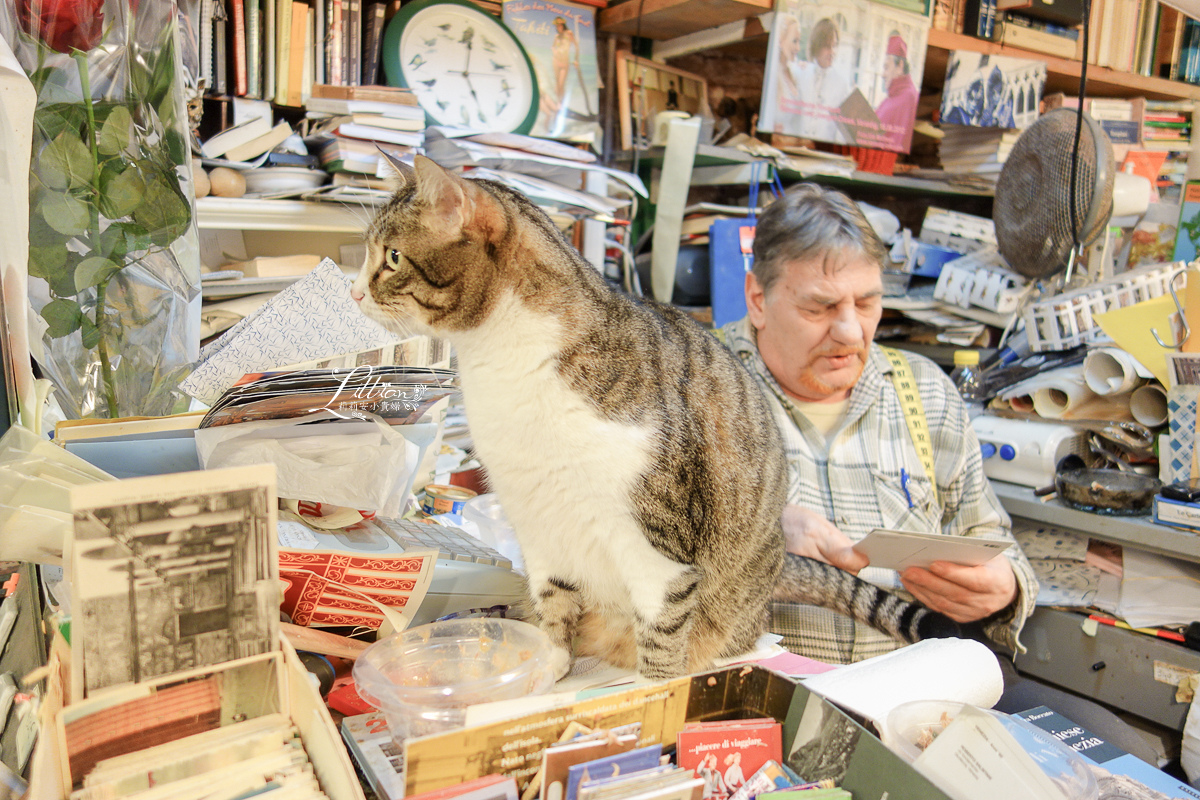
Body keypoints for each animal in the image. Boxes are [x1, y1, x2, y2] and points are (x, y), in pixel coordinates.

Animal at [350, 153, 955, 681]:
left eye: (393, 257)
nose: (353, 291)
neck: (502, 365)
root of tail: (781, 562)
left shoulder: (656, 550)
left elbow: (662, 639)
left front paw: (653, 695)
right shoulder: (541, 529)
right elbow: (552, 609)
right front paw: (546, 671)